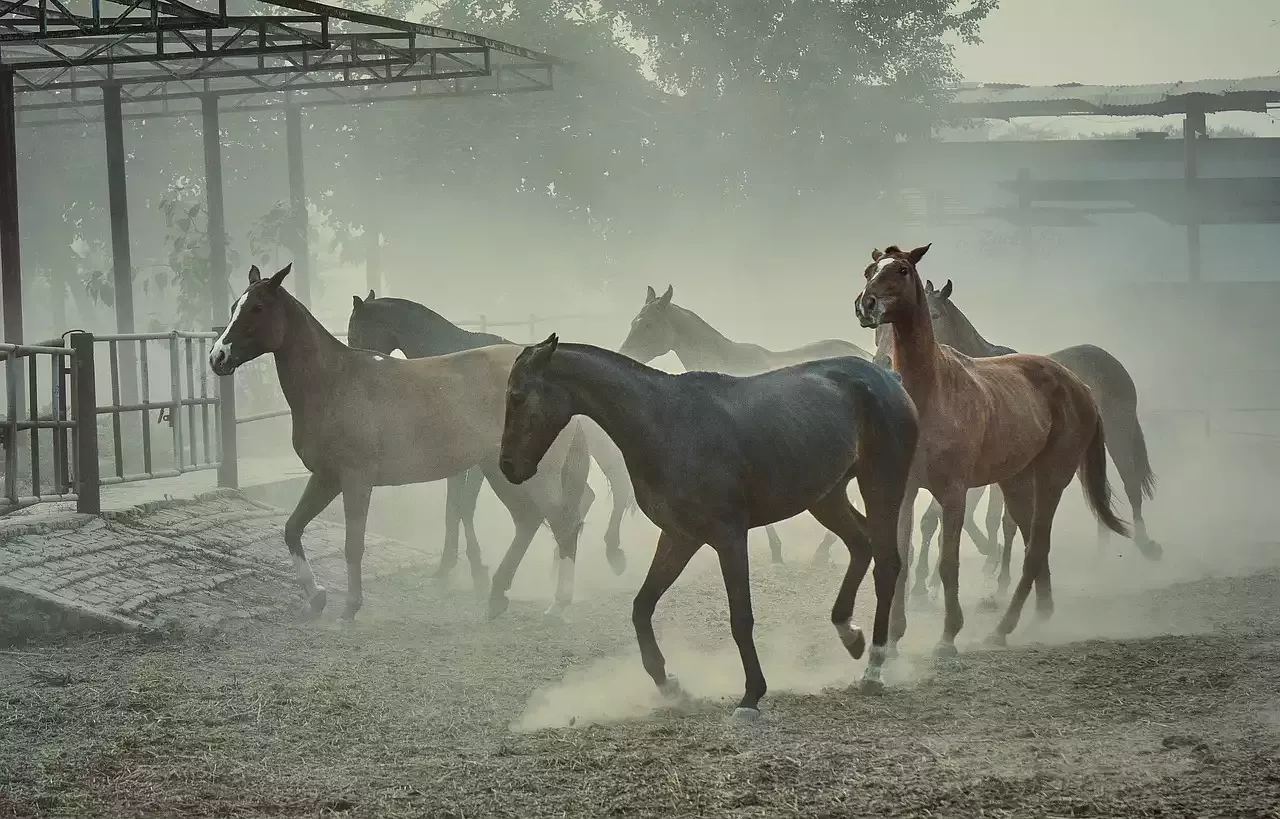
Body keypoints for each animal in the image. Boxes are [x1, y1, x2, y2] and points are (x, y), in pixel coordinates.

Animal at [207, 262, 591, 619]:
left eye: (257, 308)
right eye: (234, 307)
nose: (217, 357)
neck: (333, 382)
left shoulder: (356, 480)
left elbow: (353, 544)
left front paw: (351, 607)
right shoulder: (326, 477)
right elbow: (292, 529)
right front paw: (316, 597)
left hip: (533, 476)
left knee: (563, 525)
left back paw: (557, 604)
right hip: (499, 471)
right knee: (529, 521)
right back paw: (497, 596)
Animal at [348, 294, 632, 588]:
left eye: (355, 331)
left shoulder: (474, 463)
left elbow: (463, 506)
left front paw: (473, 567)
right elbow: (453, 508)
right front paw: (449, 563)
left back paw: (607, 554)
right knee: (586, 497)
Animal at [496, 332, 921, 716]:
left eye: (517, 397)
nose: (508, 467)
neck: (666, 424)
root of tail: (888, 378)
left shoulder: (728, 537)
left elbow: (740, 617)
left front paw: (751, 695)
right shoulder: (680, 537)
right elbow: (641, 607)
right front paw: (670, 687)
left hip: (881, 485)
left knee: (887, 563)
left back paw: (874, 666)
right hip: (825, 497)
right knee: (861, 544)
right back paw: (850, 635)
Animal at [855, 243, 1126, 652]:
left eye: (902, 269)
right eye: (870, 270)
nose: (866, 305)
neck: (933, 390)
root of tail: (1080, 386)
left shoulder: (953, 492)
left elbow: (948, 561)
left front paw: (948, 637)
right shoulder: (906, 488)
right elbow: (901, 555)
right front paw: (891, 640)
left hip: (1052, 479)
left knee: (1035, 548)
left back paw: (1004, 627)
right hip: (1016, 482)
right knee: (1032, 542)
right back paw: (1038, 615)